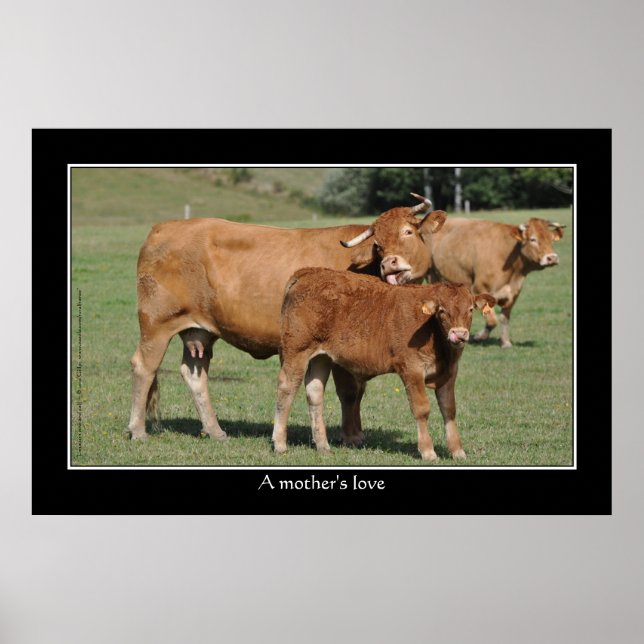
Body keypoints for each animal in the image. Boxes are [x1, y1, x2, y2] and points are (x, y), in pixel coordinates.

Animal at [127, 194, 447, 445]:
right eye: (378, 244)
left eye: (408, 231)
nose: (390, 264)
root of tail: (163, 228)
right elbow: (349, 392)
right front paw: (352, 436)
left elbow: (354, 391)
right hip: (155, 325)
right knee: (144, 367)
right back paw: (138, 430)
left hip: (200, 332)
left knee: (194, 374)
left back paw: (215, 430)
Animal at [272, 268, 495, 460]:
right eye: (442, 311)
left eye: (470, 310)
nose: (459, 334)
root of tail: (309, 272)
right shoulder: (412, 369)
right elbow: (422, 408)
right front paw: (428, 451)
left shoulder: (449, 374)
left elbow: (449, 409)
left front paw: (457, 450)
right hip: (297, 350)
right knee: (287, 388)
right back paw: (280, 443)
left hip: (321, 357)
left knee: (315, 393)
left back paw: (323, 445)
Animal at [427, 217, 565, 348]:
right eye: (533, 239)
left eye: (552, 239)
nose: (552, 258)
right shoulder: (479, 289)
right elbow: (492, 320)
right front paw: (479, 336)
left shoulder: (513, 293)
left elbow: (504, 318)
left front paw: (505, 342)